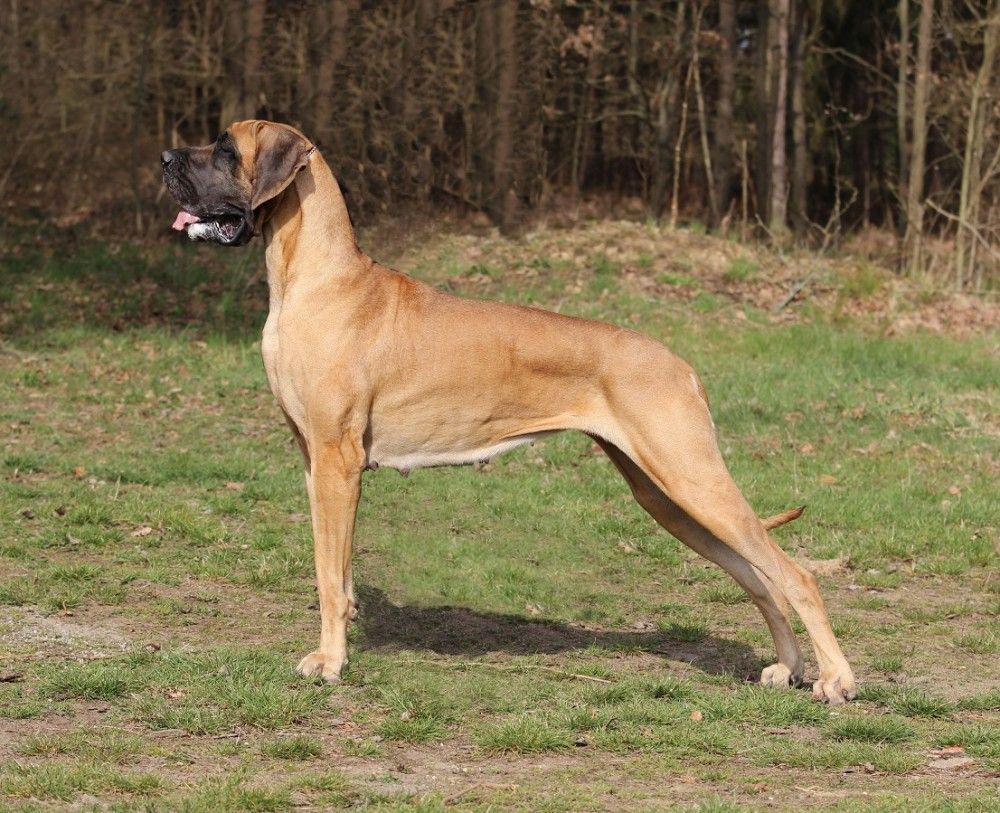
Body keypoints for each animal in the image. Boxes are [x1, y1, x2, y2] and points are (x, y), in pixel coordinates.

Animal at [162, 120, 857, 704]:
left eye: (224, 148)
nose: (165, 157)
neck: (316, 278)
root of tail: (680, 363)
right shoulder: (317, 465)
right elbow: (335, 567)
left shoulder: (338, 462)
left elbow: (330, 578)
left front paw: (330, 662)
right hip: (666, 495)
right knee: (760, 578)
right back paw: (789, 667)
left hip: (691, 479)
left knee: (795, 576)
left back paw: (837, 680)